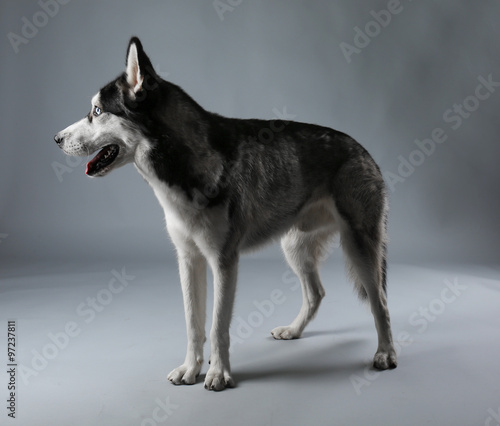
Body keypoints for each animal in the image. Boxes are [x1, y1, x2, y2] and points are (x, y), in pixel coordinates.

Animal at [54, 38, 398, 392]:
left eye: (97, 111)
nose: (57, 139)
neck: (183, 165)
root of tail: (363, 150)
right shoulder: (189, 260)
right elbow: (194, 324)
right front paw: (190, 369)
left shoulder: (223, 262)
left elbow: (218, 326)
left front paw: (218, 373)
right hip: (294, 247)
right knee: (316, 293)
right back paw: (293, 331)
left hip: (359, 249)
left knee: (381, 303)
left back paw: (385, 354)